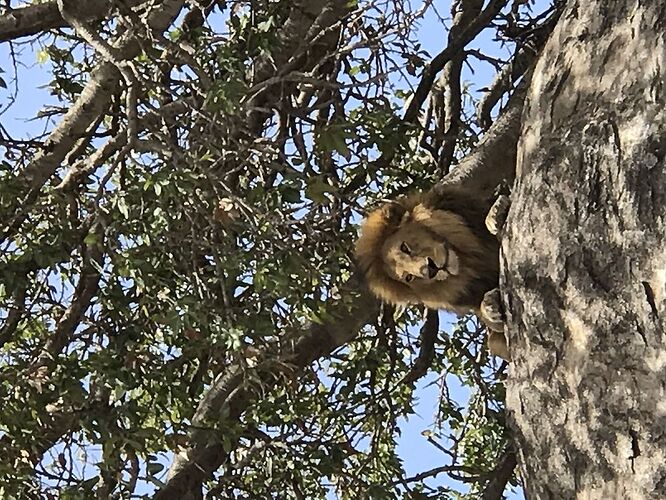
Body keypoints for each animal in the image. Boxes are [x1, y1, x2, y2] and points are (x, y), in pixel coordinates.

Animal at [358, 184, 508, 360]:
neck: (474, 260)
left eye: (404, 248)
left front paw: (495, 214)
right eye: (408, 277)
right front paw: (490, 307)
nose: (430, 269)